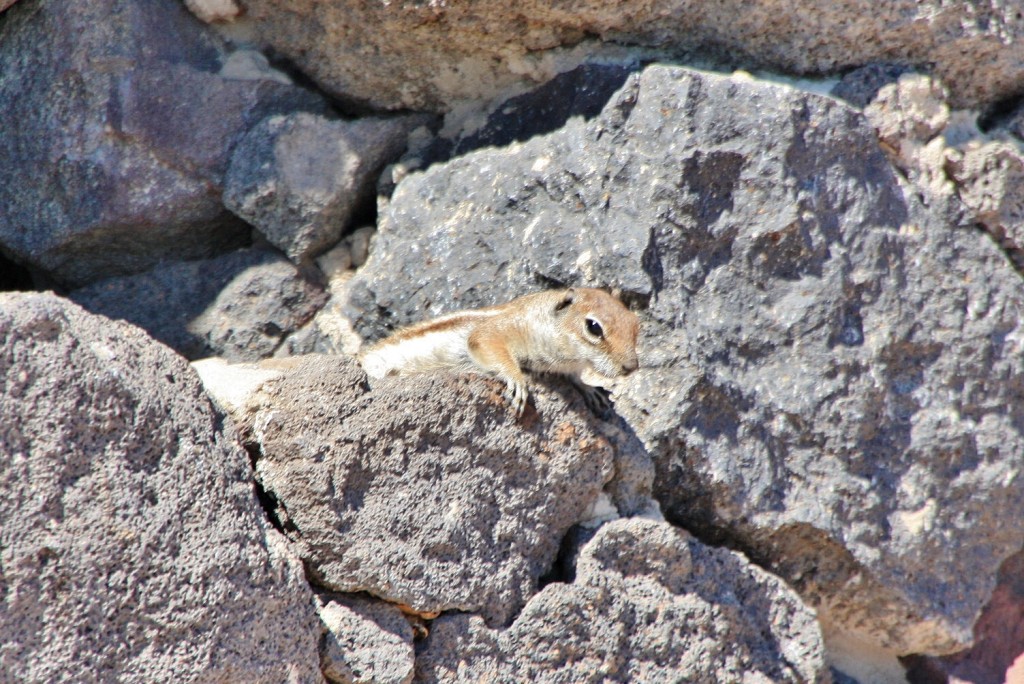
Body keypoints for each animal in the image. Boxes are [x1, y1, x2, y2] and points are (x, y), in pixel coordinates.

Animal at [360, 286, 638, 413]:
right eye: (593, 327)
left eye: (636, 325)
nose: (631, 367)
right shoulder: (497, 330)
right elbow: (485, 341)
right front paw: (516, 379)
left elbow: (576, 377)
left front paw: (591, 389)